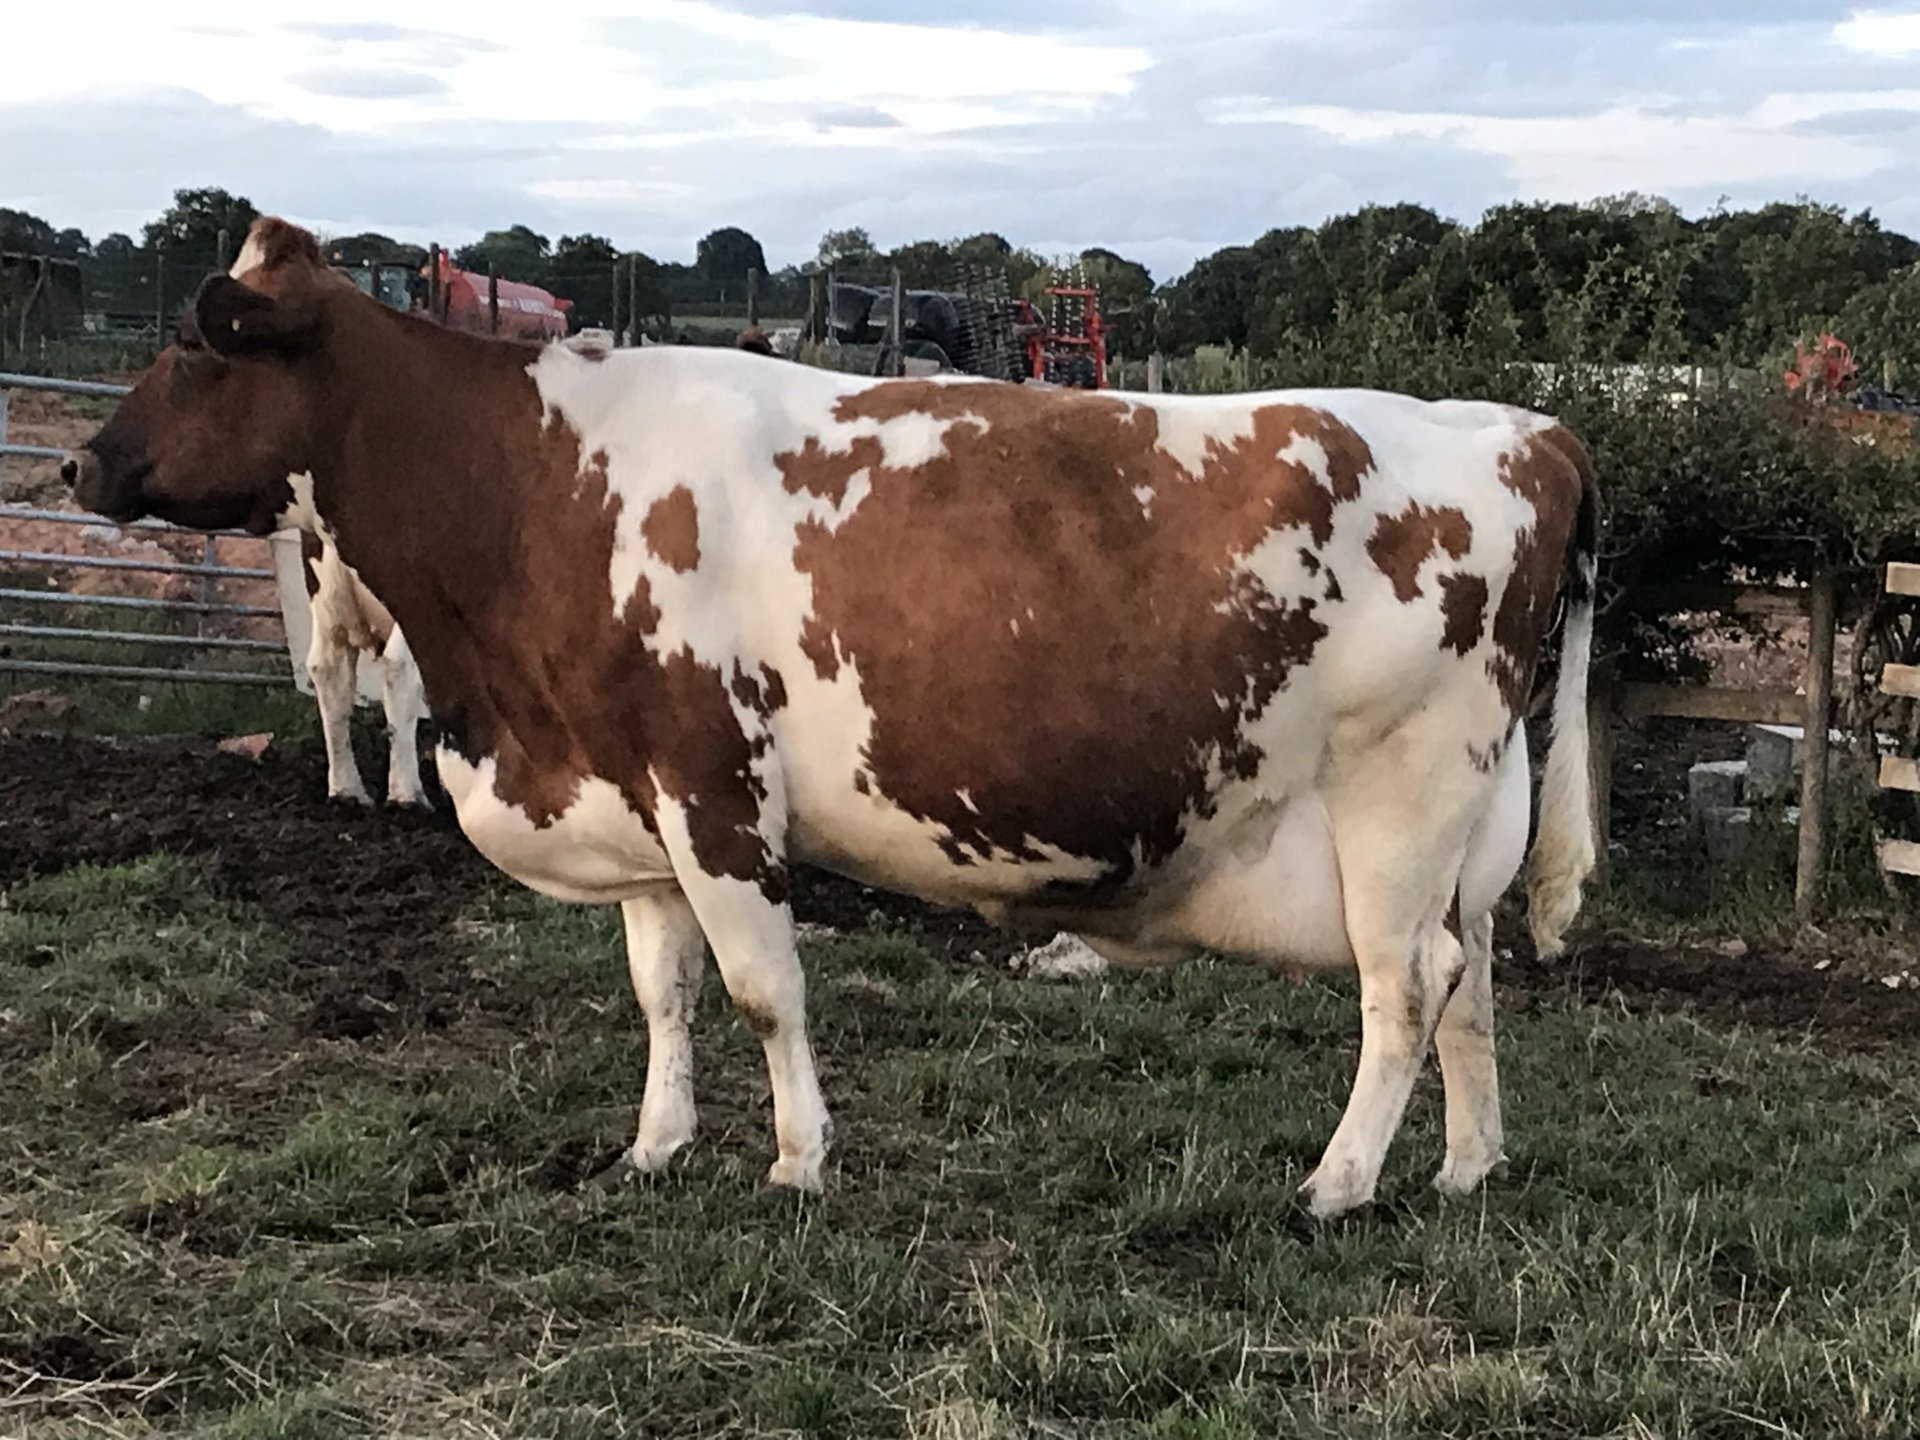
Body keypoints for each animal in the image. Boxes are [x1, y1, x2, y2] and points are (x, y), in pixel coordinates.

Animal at [64, 217, 1598, 1219]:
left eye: (198, 344)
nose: (77, 464)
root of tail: (1523, 430)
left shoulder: (714, 789)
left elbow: (763, 986)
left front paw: (798, 1160)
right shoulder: (634, 790)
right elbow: (664, 988)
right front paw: (656, 1147)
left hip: (1397, 800)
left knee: (1406, 988)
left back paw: (1337, 1183)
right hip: (1466, 823)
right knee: (1471, 979)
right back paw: (1467, 1168)